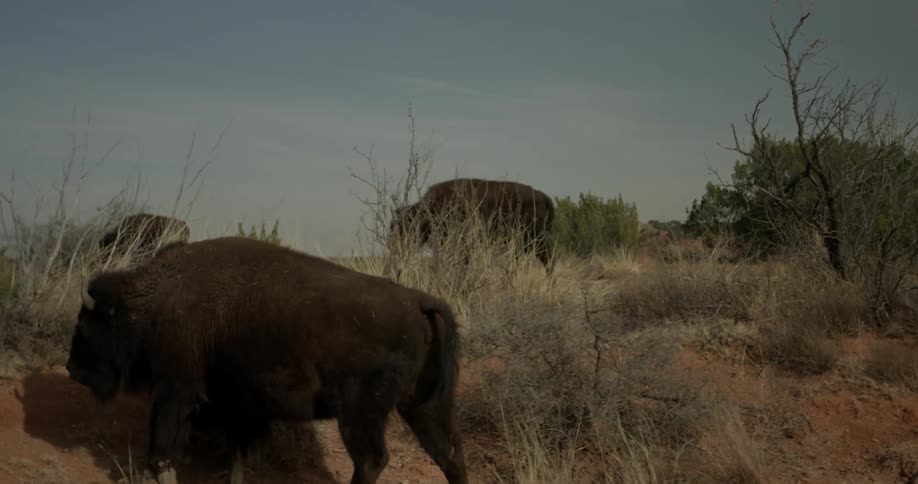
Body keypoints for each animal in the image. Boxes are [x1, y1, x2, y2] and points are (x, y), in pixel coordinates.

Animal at [66, 236, 467, 484]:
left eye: (86, 325)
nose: (72, 368)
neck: (156, 299)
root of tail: (418, 301)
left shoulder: (174, 392)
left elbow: (162, 449)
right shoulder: (233, 404)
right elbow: (238, 451)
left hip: (360, 413)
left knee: (372, 460)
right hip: (422, 406)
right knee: (449, 453)